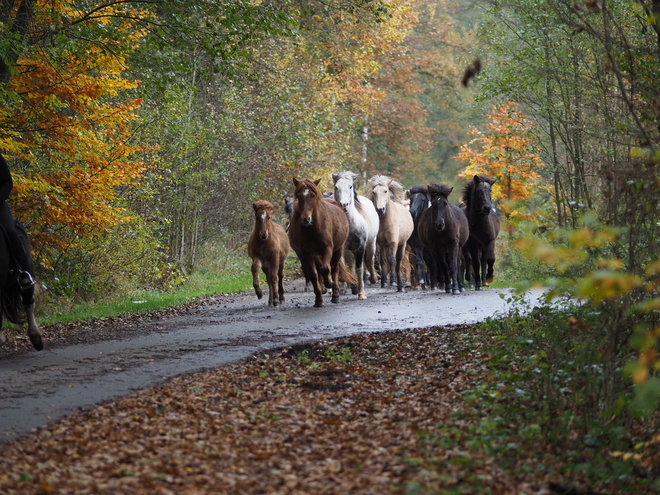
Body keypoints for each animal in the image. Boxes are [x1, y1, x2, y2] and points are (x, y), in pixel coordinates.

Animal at [286, 178, 354, 308]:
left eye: (313, 195)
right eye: (298, 196)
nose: (306, 219)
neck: (312, 229)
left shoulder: (327, 248)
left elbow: (326, 268)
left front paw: (330, 284)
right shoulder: (306, 253)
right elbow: (313, 274)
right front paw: (318, 299)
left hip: (338, 250)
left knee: (334, 268)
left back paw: (335, 293)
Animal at [332, 172, 378, 300]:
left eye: (350, 186)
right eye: (336, 187)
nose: (344, 205)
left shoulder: (360, 247)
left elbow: (359, 268)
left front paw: (361, 293)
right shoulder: (341, 248)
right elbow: (343, 266)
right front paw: (346, 287)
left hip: (371, 244)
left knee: (369, 260)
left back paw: (373, 279)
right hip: (349, 250)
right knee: (350, 264)